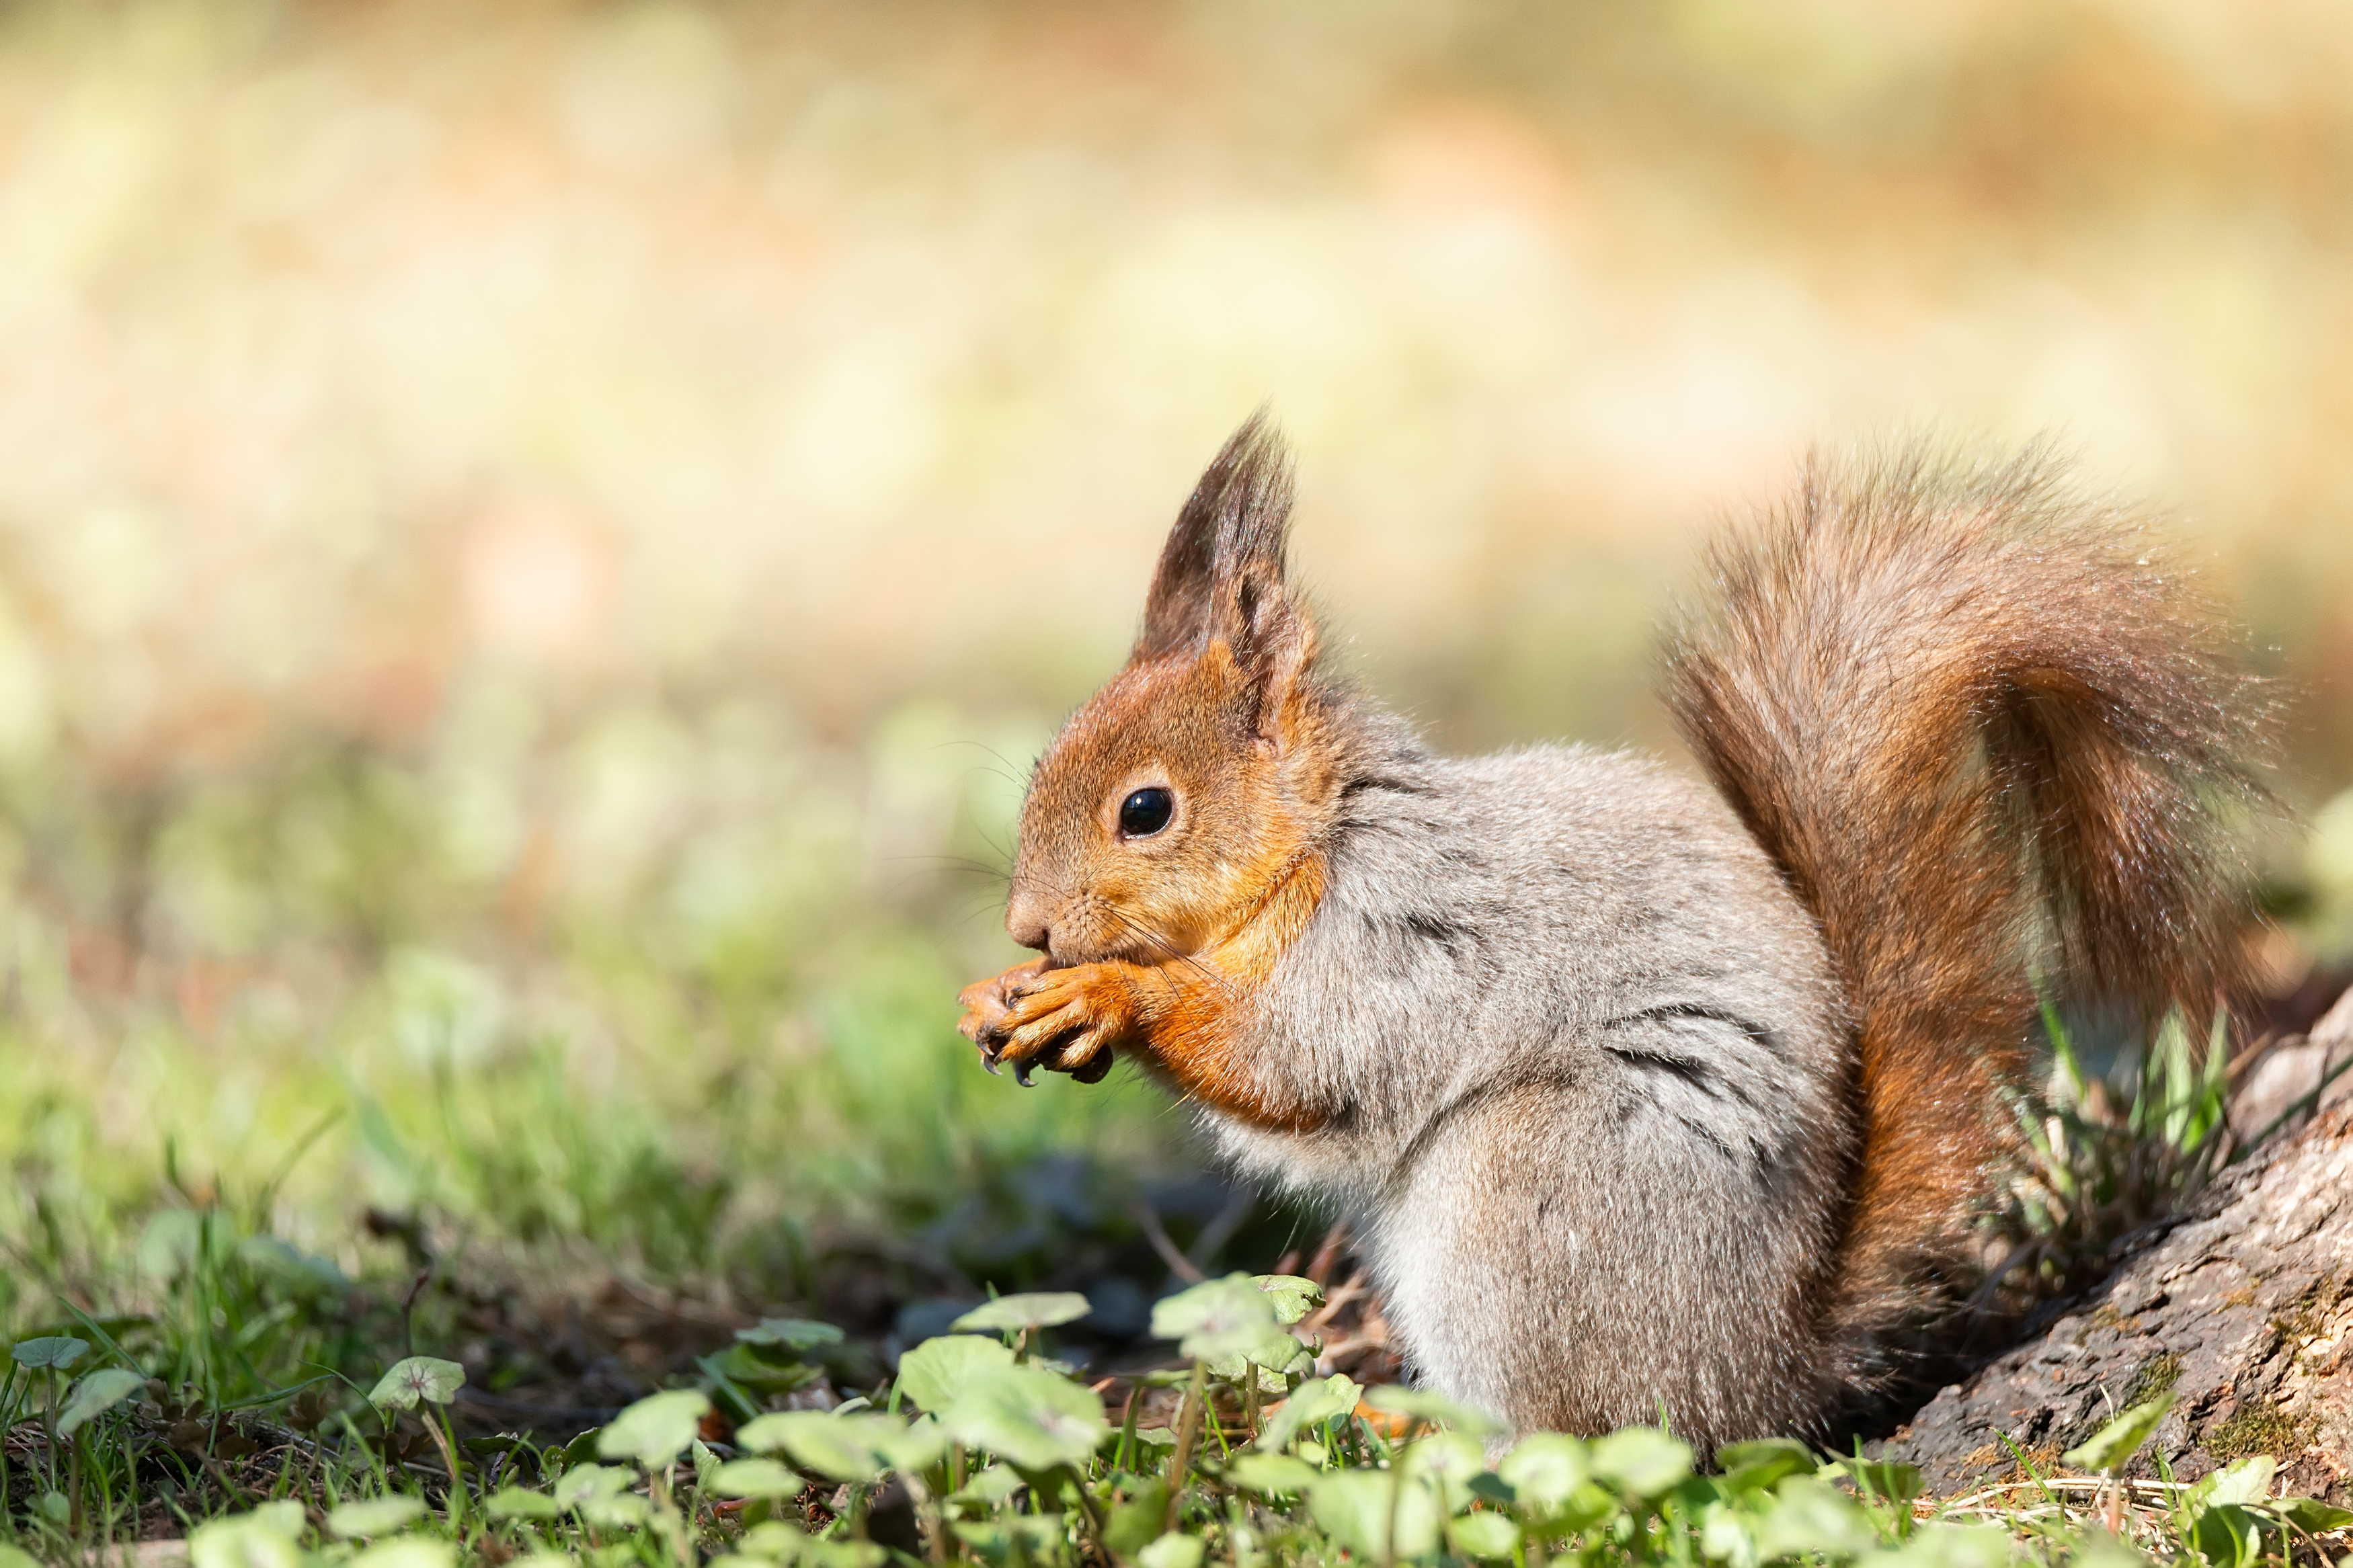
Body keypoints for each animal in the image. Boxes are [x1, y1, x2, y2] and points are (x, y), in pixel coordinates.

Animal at [946, 416, 2268, 1448]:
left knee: (1573, 1432)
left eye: (1146, 810)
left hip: (1539, 1190)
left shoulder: (1403, 938)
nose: (1030, 924)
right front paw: (994, 995)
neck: (1314, 847)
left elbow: (1297, 1067)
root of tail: (1762, 1364)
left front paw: (1110, 994)